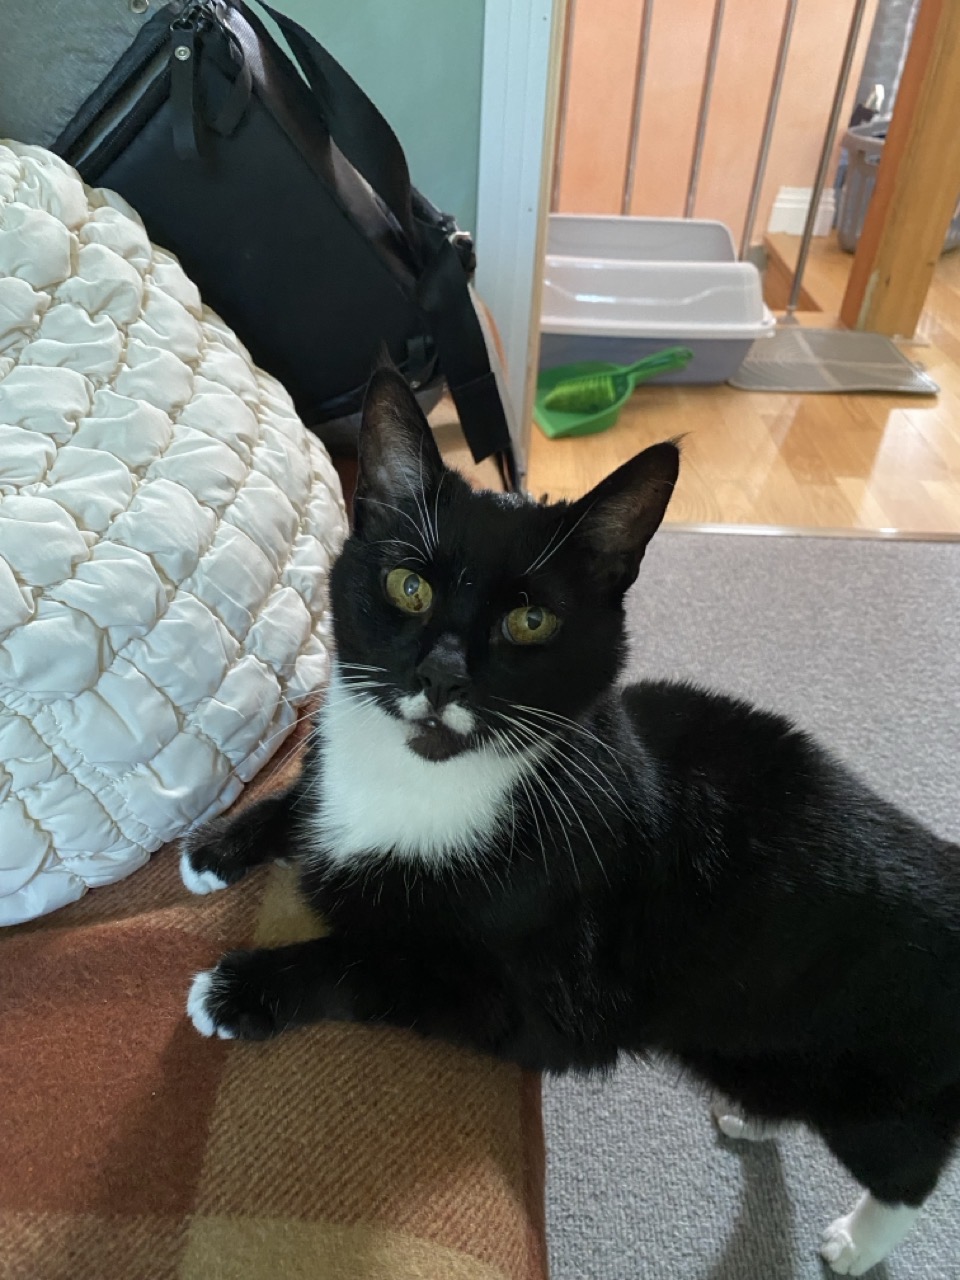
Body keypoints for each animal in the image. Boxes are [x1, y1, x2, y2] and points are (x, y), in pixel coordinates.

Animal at [184, 366, 960, 1274]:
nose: (442, 675)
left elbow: (383, 960)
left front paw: (239, 988)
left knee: (909, 1167)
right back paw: (752, 1117)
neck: (430, 775)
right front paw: (214, 847)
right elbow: (306, 802)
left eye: (531, 621)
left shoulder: (543, 1003)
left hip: (879, 1078)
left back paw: (854, 1241)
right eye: (409, 586)